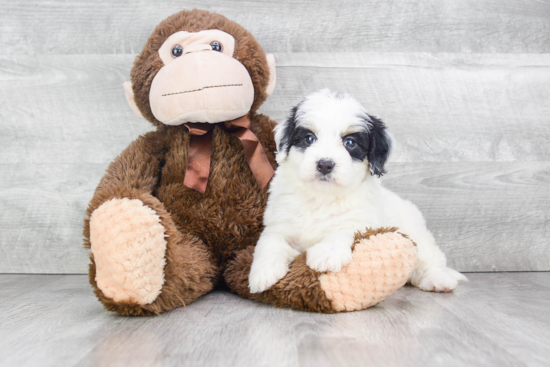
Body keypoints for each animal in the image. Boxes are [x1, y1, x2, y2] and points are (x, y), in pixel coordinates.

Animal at [248, 90, 468, 294]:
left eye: (350, 143)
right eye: (309, 138)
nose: (325, 164)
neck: (321, 197)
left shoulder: (360, 220)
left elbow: (343, 230)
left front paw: (326, 254)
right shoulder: (279, 222)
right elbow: (270, 242)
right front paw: (262, 273)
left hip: (416, 233)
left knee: (430, 259)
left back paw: (438, 279)